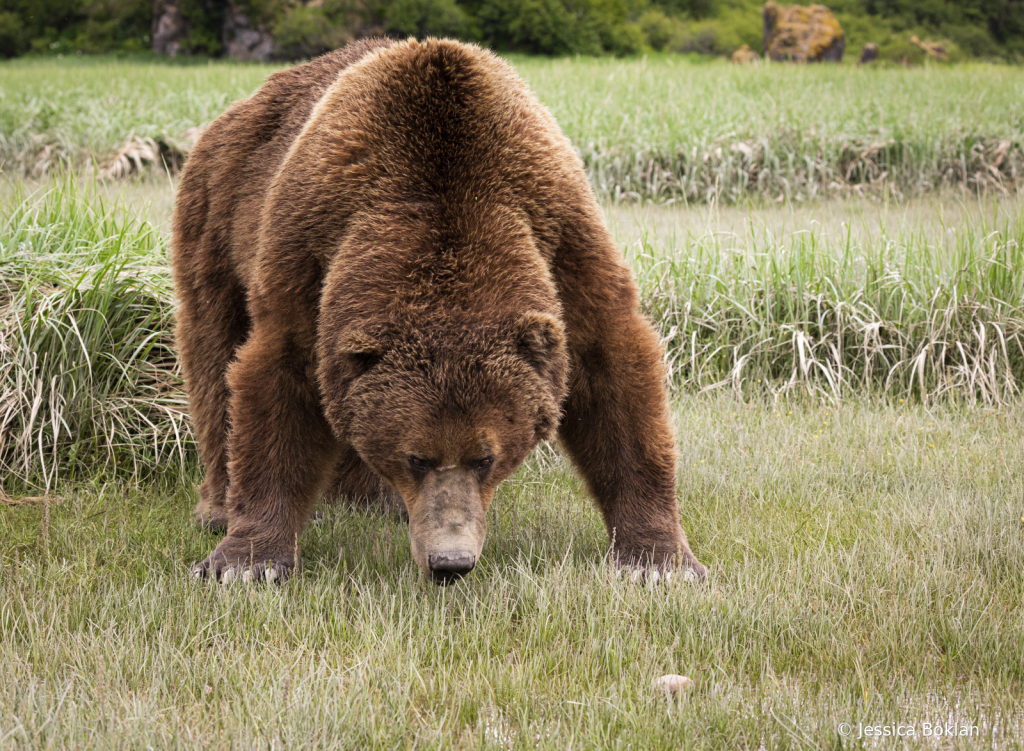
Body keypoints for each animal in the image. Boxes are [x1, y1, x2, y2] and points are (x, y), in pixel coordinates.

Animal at [172, 38, 708, 581]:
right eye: (418, 458)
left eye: (485, 457)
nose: (451, 562)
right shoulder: (309, 255)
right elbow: (275, 381)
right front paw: (246, 561)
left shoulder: (563, 241)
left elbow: (614, 373)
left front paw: (658, 560)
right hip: (217, 218)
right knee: (213, 357)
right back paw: (220, 507)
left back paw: (370, 498)